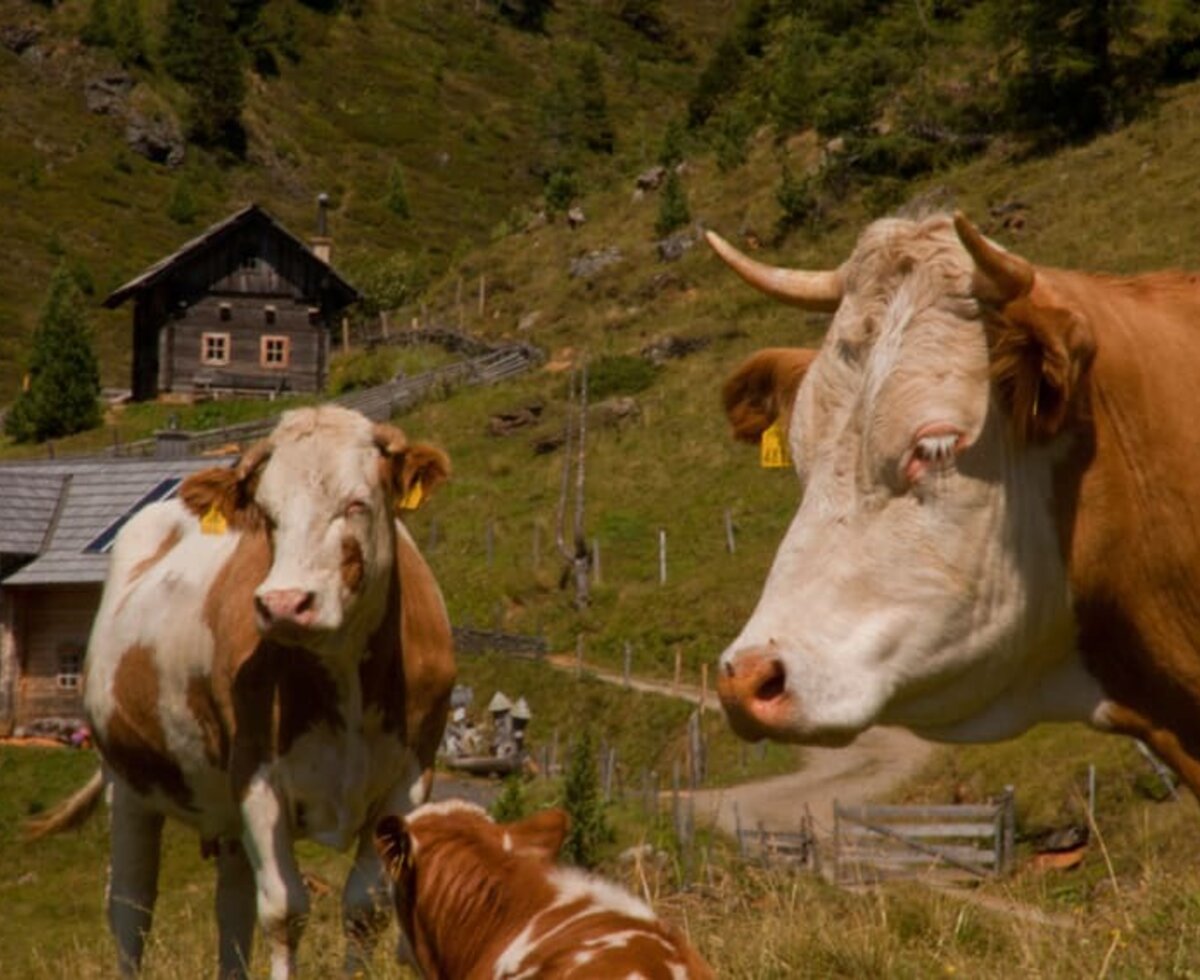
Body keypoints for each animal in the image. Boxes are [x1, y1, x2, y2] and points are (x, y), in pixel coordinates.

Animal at [32, 400, 456, 974]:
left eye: (357, 504)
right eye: (266, 514)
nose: (284, 603)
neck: (345, 677)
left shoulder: (411, 778)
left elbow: (365, 908)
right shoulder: (257, 776)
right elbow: (284, 910)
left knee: (230, 906)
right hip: (127, 781)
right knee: (131, 906)